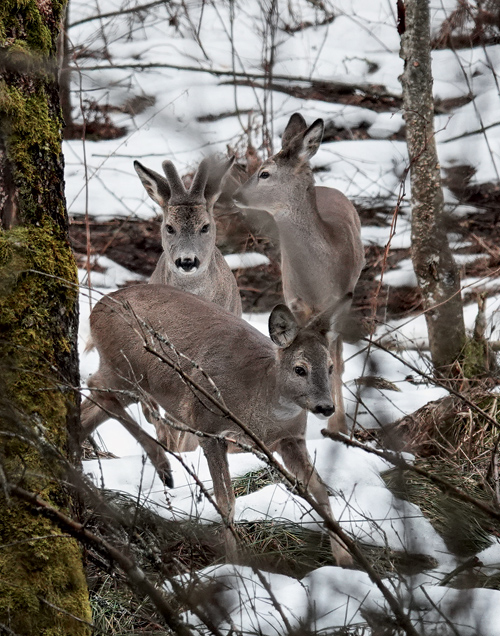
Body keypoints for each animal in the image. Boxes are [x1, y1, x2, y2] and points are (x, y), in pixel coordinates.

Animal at [81, 284, 352, 568]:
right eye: (300, 369)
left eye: (330, 367)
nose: (326, 407)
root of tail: (98, 306)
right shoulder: (208, 428)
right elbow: (226, 501)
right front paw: (235, 563)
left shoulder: (291, 438)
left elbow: (320, 490)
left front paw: (345, 558)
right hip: (127, 367)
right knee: (96, 386)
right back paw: (162, 466)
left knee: (94, 403)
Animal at [232, 112, 366, 434]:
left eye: (265, 173)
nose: (236, 194)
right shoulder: (295, 301)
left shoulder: (340, 300)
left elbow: (335, 363)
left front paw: (337, 427)